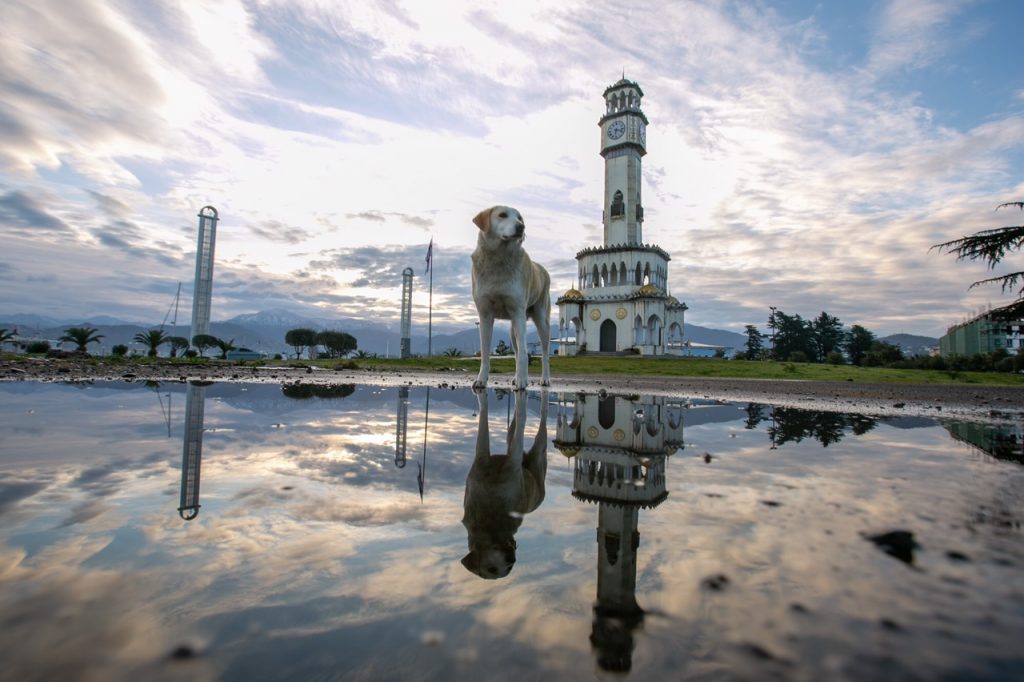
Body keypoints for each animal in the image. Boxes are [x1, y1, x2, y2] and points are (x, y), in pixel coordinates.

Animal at [471, 204, 552, 391]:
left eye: (520, 218)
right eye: (502, 215)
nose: (522, 227)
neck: (498, 258)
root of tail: (541, 268)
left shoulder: (518, 312)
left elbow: (523, 353)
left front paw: (523, 381)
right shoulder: (485, 316)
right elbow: (485, 353)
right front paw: (481, 379)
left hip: (541, 321)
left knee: (544, 353)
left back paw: (544, 379)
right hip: (512, 329)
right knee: (515, 350)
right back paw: (516, 377)